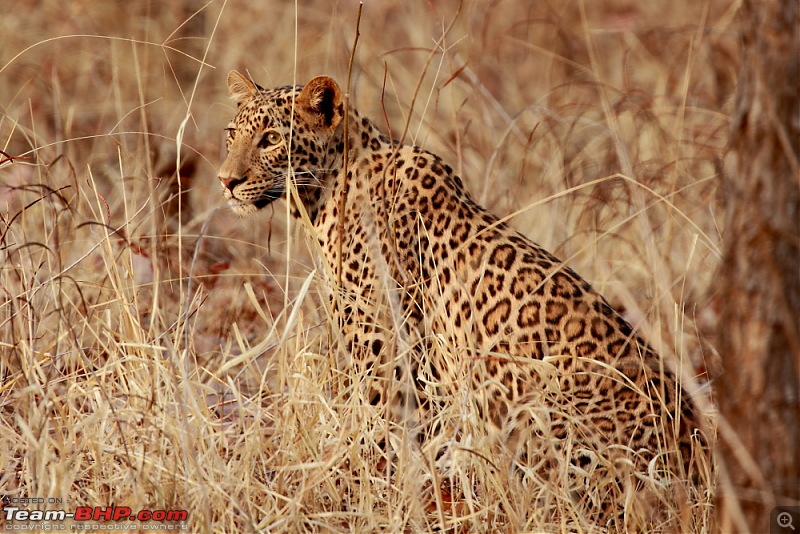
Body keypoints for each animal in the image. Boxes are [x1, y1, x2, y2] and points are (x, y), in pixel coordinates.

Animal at [216, 72, 708, 532]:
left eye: (271, 139)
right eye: (231, 134)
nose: (226, 181)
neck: (325, 195)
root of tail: (698, 464)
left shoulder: (384, 351)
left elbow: (379, 433)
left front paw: (370, 492)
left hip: (531, 403)